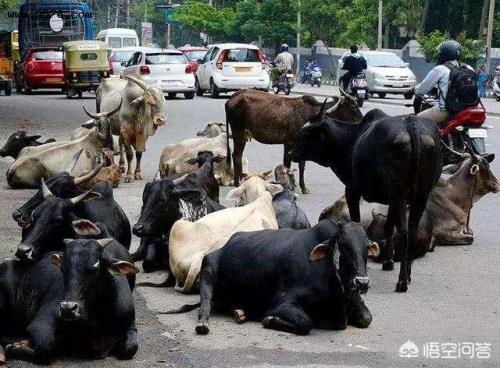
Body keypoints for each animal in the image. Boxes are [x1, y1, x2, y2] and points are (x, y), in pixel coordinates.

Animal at [0, 237, 138, 364]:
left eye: (94, 269)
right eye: (63, 268)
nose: (67, 308)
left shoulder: (130, 323)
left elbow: (131, 348)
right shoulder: (41, 323)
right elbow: (44, 348)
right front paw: (16, 347)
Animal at [168, 220, 378, 334]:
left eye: (367, 246)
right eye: (342, 244)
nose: (362, 282)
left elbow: (367, 318)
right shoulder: (283, 303)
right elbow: (305, 322)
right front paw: (269, 320)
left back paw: (240, 312)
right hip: (207, 272)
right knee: (205, 305)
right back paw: (204, 322)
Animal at [225, 89, 362, 194]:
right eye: (353, 106)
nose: (361, 119)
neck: (310, 113)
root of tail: (230, 99)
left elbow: (302, 165)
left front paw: (303, 187)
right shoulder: (289, 142)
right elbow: (287, 164)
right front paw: (288, 186)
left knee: (236, 155)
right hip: (239, 133)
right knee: (236, 156)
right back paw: (238, 184)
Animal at [290, 105, 442, 292]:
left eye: (305, 133)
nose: (291, 153)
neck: (351, 140)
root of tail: (411, 123)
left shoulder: (352, 190)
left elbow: (357, 223)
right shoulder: (391, 199)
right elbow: (388, 228)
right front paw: (388, 262)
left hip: (400, 193)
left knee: (404, 233)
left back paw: (402, 281)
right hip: (420, 195)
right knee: (411, 231)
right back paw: (408, 274)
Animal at [322, 151, 498, 258]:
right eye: (486, 165)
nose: (497, 184)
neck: (455, 195)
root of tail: (332, 207)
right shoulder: (444, 232)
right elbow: (470, 238)